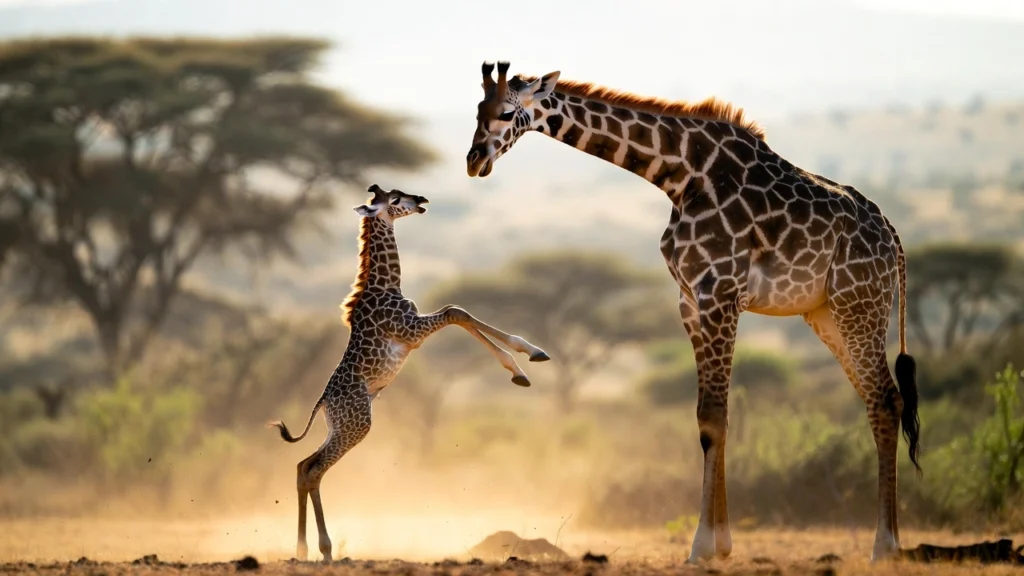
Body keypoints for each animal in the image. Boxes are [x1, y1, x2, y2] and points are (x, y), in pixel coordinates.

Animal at [268, 184, 551, 563]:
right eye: (395, 198)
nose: (422, 201)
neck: (386, 286)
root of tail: (323, 402)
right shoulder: (410, 332)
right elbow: (456, 311)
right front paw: (525, 358)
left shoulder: (414, 330)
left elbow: (459, 312)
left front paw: (527, 361)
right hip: (358, 425)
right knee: (314, 470)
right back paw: (325, 550)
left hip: (339, 427)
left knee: (302, 466)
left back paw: (301, 550)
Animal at [464, 61, 921, 564]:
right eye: (477, 109)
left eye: (508, 113)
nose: (474, 160)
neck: (681, 174)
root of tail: (893, 236)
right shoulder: (689, 299)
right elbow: (708, 417)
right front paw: (720, 544)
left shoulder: (720, 291)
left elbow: (714, 417)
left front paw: (702, 545)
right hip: (827, 313)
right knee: (882, 399)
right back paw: (889, 543)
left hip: (859, 302)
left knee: (885, 399)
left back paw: (885, 546)